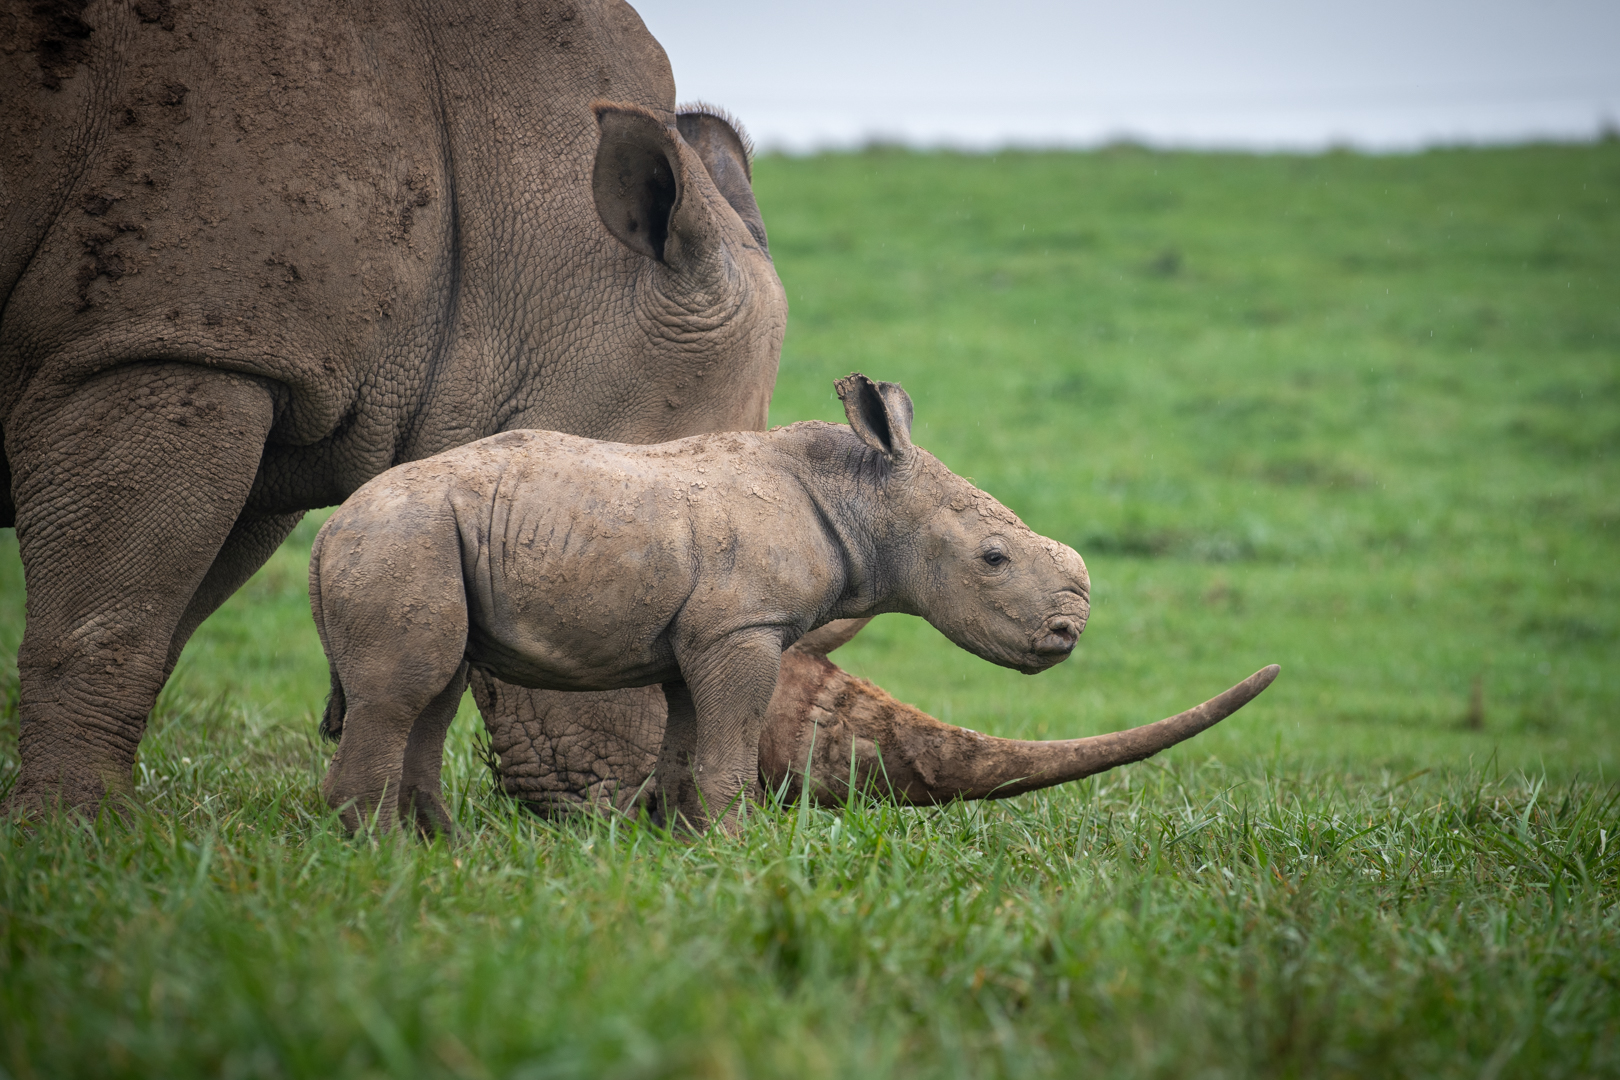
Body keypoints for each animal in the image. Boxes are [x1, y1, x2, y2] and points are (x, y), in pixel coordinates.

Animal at [306, 374, 1088, 835]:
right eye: (993, 559)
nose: (1068, 633)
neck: (865, 495)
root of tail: (327, 532)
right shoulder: (743, 626)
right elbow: (732, 744)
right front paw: (742, 848)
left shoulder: (702, 635)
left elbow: (687, 744)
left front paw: (685, 843)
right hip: (403, 538)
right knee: (404, 693)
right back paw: (388, 857)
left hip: (422, 539)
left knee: (433, 690)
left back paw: (445, 848)